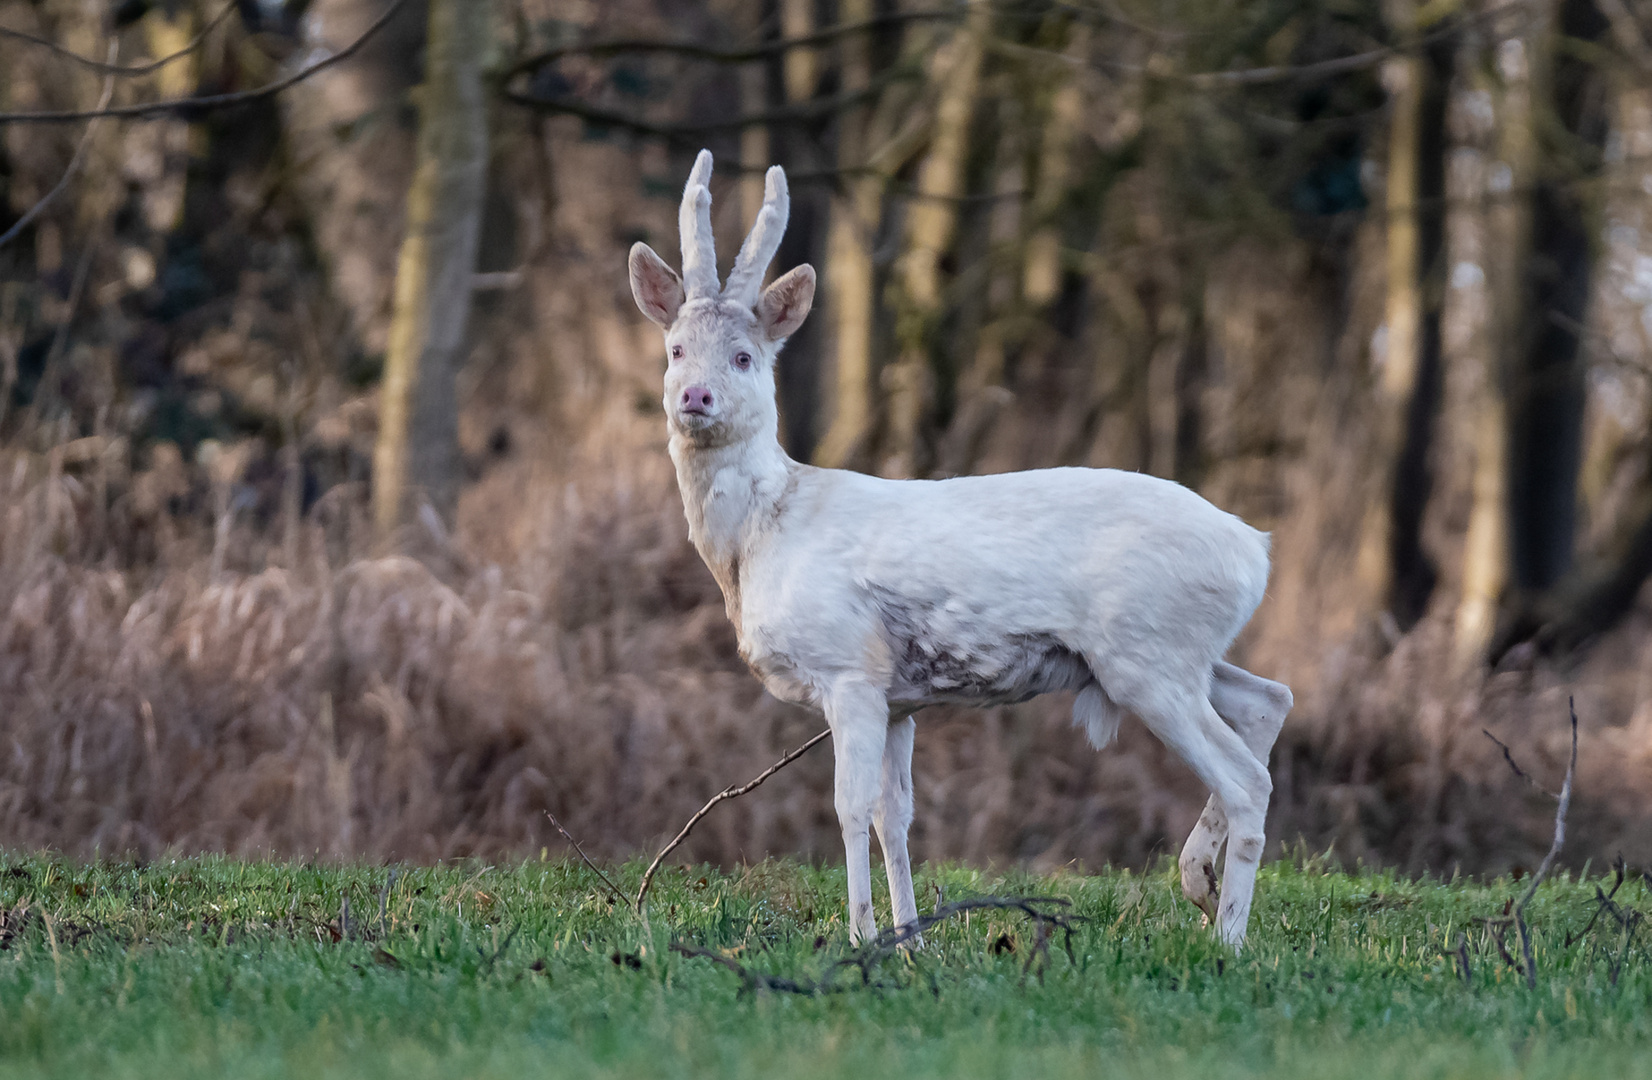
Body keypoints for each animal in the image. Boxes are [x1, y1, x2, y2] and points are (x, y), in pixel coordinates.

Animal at [627, 151, 1288, 951]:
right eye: (675, 349)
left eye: (746, 357)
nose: (694, 397)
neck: (763, 535)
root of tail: (1255, 551)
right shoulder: (900, 697)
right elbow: (897, 815)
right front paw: (911, 939)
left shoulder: (849, 669)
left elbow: (849, 808)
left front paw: (862, 937)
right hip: (1172, 655)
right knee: (1269, 700)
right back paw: (1197, 880)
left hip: (1149, 655)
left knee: (1247, 778)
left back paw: (1227, 939)